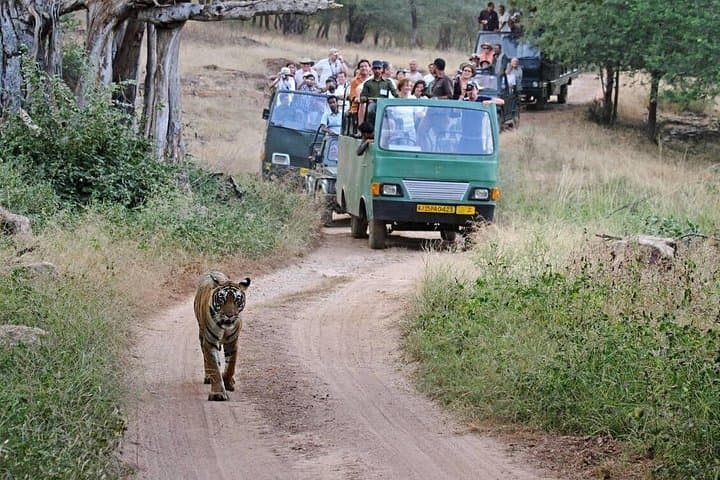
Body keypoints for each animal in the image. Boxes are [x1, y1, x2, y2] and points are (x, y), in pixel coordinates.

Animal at [193, 271, 251, 401]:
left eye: (237, 300)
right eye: (221, 299)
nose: (229, 315)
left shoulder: (233, 342)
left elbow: (231, 366)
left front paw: (228, 383)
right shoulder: (209, 342)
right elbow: (214, 367)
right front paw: (218, 394)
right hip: (202, 335)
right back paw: (208, 377)